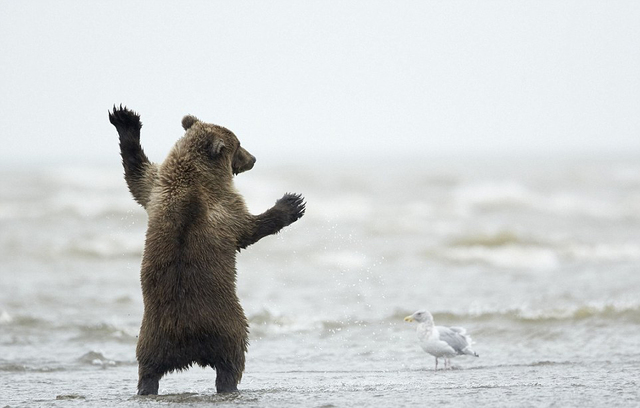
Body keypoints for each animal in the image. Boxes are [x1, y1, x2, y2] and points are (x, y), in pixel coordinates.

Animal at [108, 105, 304, 396]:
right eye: (238, 145)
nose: (253, 158)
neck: (193, 174)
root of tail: (187, 341)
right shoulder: (224, 207)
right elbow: (248, 229)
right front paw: (291, 204)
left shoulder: (158, 191)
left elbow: (137, 175)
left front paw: (125, 119)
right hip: (227, 325)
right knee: (232, 361)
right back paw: (229, 385)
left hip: (152, 336)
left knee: (148, 368)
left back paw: (146, 388)